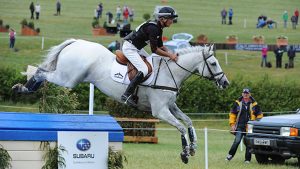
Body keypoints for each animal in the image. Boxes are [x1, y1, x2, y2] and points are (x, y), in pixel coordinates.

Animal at [12, 39, 230, 163]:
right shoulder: (160, 111)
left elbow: (189, 122)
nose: (225, 83)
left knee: (43, 71)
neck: (171, 73)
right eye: (213, 63)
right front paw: (185, 154)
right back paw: (23, 88)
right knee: (41, 72)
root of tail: (76, 42)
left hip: (68, 76)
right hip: (68, 78)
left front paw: (193, 148)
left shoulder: (171, 106)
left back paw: (24, 87)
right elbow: (181, 127)